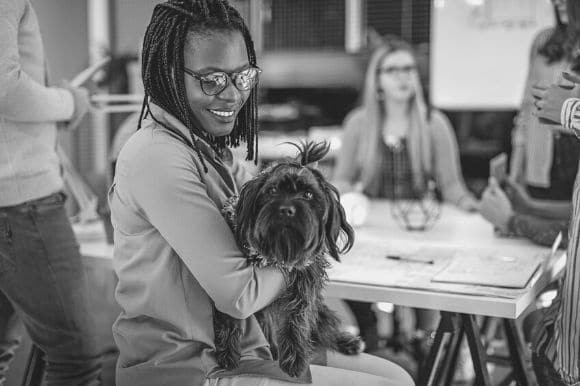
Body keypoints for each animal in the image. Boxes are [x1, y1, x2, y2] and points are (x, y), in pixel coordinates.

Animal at [215, 141, 362, 376]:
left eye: (308, 195)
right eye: (273, 190)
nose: (286, 209)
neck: (279, 250)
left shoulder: (304, 282)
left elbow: (297, 318)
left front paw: (295, 358)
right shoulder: (233, 285)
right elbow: (231, 314)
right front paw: (228, 351)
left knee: (324, 326)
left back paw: (346, 341)